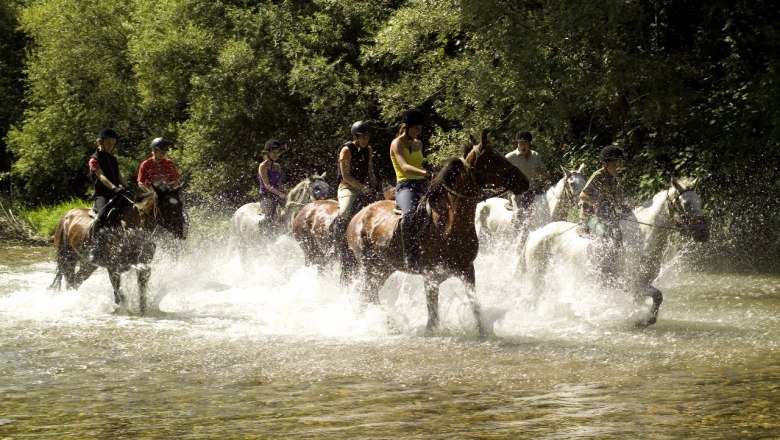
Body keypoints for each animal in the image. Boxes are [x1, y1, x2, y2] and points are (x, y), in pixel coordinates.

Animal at [50, 184, 187, 314]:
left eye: (180, 204)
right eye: (165, 206)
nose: (182, 232)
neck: (133, 231)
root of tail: (66, 216)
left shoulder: (143, 267)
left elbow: (141, 295)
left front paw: (142, 312)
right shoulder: (113, 268)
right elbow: (120, 297)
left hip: (88, 265)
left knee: (76, 281)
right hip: (67, 258)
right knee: (70, 280)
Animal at [342, 131, 532, 336]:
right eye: (493, 159)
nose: (524, 181)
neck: (448, 223)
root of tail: (356, 217)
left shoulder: (467, 270)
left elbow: (475, 306)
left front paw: (483, 333)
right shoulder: (431, 277)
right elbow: (433, 317)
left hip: (384, 268)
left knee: (368, 295)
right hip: (369, 266)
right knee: (368, 294)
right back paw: (387, 324)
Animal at [520, 177, 708, 324]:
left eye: (699, 201)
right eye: (686, 203)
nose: (703, 233)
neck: (643, 238)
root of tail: (536, 233)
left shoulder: (641, 286)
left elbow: (651, 300)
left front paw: (643, 319)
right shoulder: (633, 284)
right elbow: (658, 296)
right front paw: (645, 320)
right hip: (538, 276)